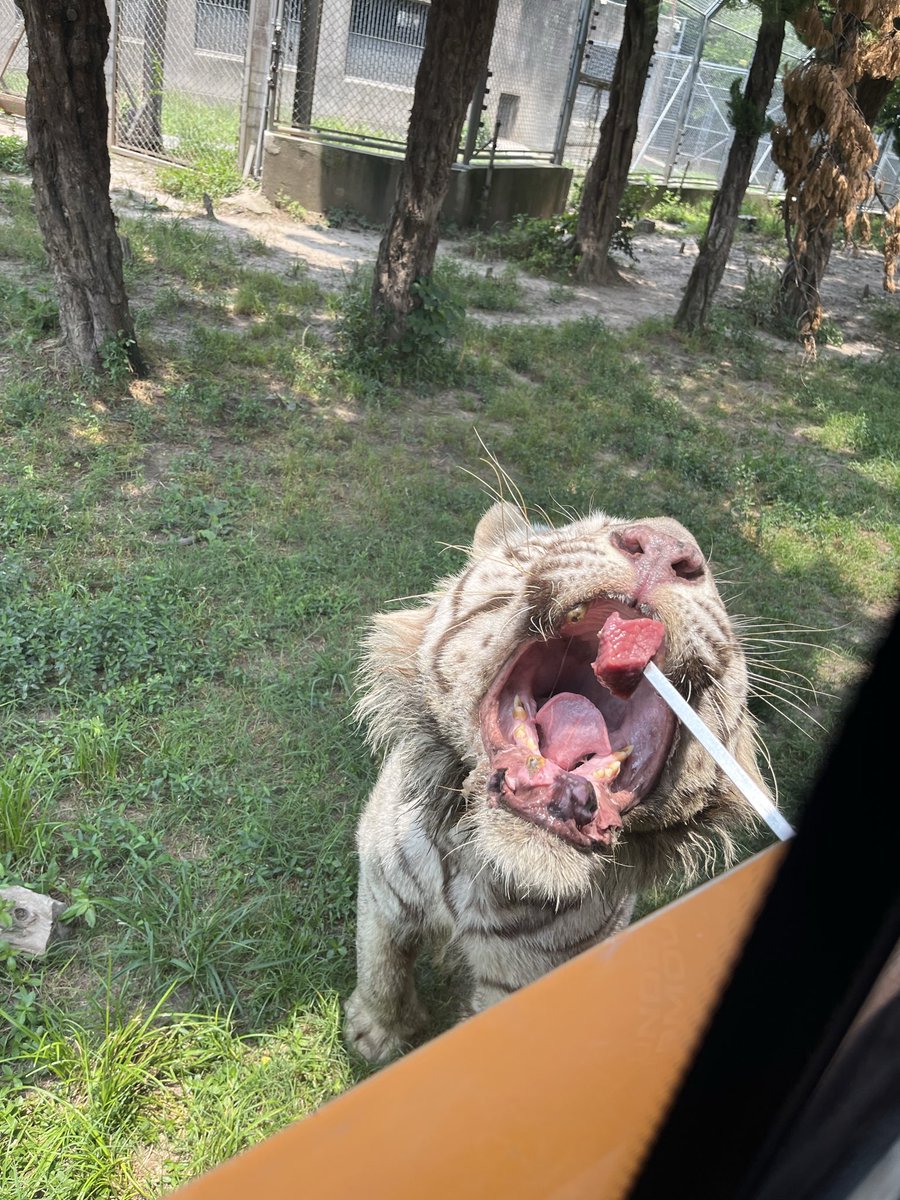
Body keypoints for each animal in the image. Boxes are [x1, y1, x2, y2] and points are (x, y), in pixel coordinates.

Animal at [344, 500, 771, 1063]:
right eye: (576, 531)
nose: (665, 546)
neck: (485, 868)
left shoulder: (526, 982)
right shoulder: (382, 888)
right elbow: (381, 963)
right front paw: (375, 1033)